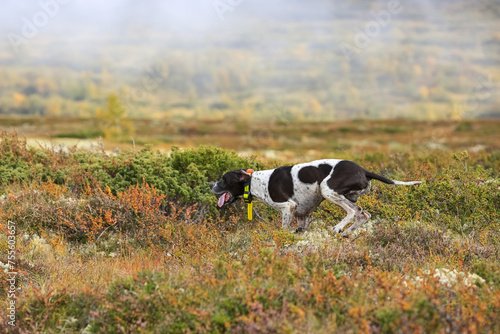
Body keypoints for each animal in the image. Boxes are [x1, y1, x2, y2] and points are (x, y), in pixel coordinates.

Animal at [208, 160, 422, 236]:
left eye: (223, 179)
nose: (210, 185)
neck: (254, 182)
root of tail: (364, 170)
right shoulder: (302, 216)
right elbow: (299, 231)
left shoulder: (288, 207)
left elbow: (283, 230)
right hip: (348, 196)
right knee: (363, 214)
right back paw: (346, 233)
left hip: (328, 189)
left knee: (353, 212)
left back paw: (338, 228)